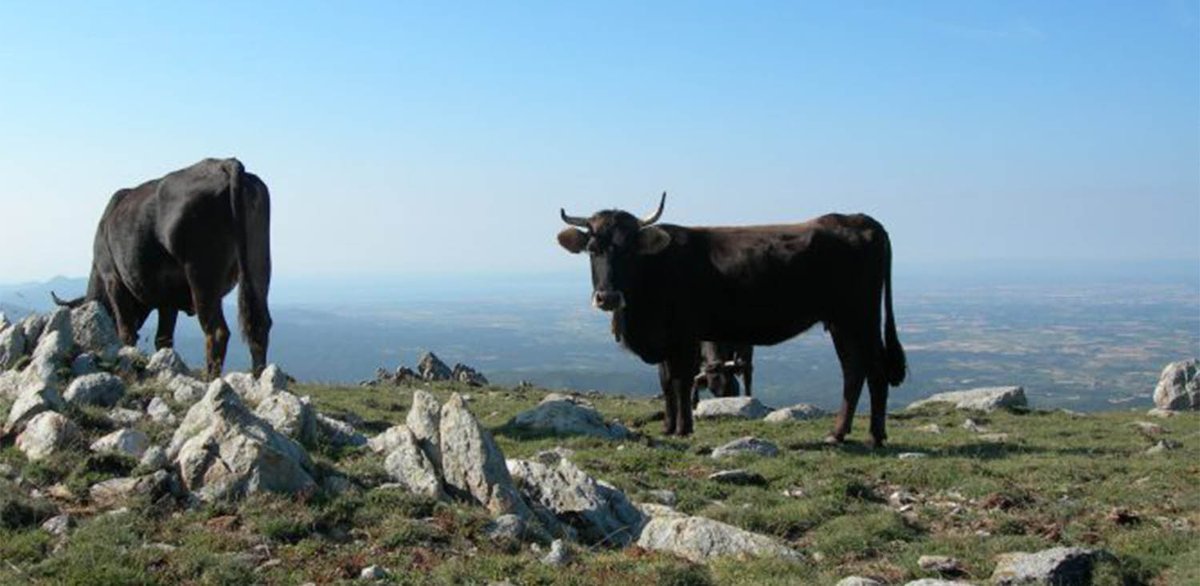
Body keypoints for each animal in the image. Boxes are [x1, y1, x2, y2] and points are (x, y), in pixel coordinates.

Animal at [53, 158, 272, 379]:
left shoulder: (113, 280)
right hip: (258, 265)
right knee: (259, 325)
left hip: (202, 275)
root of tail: (225, 163)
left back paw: (211, 379)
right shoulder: (168, 298)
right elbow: (163, 339)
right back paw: (258, 376)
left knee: (217, 331)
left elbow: (126, 331)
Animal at [557, 193, 905, 445]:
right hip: (840, 323)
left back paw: (875, 436)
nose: (608, 297)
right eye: (592, 248)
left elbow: (681, 382)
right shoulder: (666, 339)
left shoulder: (685, 335)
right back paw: (838, 432)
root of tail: (861, 219)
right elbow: (666, 381)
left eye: (629, 249)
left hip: (860, 318)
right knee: (853, 371)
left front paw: (683, 429)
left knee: (873, 371)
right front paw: (668, 427)